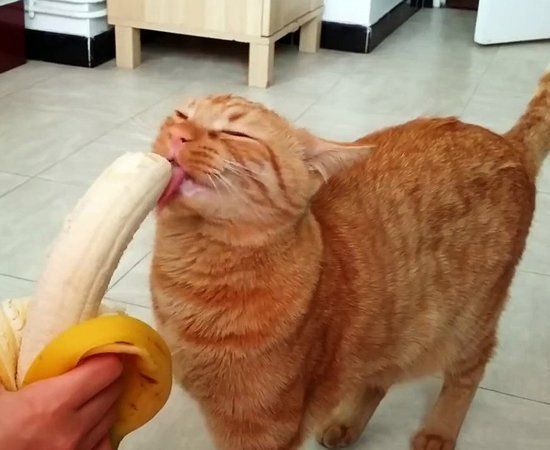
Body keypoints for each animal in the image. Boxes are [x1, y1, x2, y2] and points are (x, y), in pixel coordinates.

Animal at [151, 70, 550, 450]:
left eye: (235, 133)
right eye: (182, 115)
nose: (179, 135)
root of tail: (507, 142)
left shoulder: (263, 429)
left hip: (466, 323)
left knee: (471, 368)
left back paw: (439, 431)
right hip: (391, 325)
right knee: (379, 376)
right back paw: (348, 423)